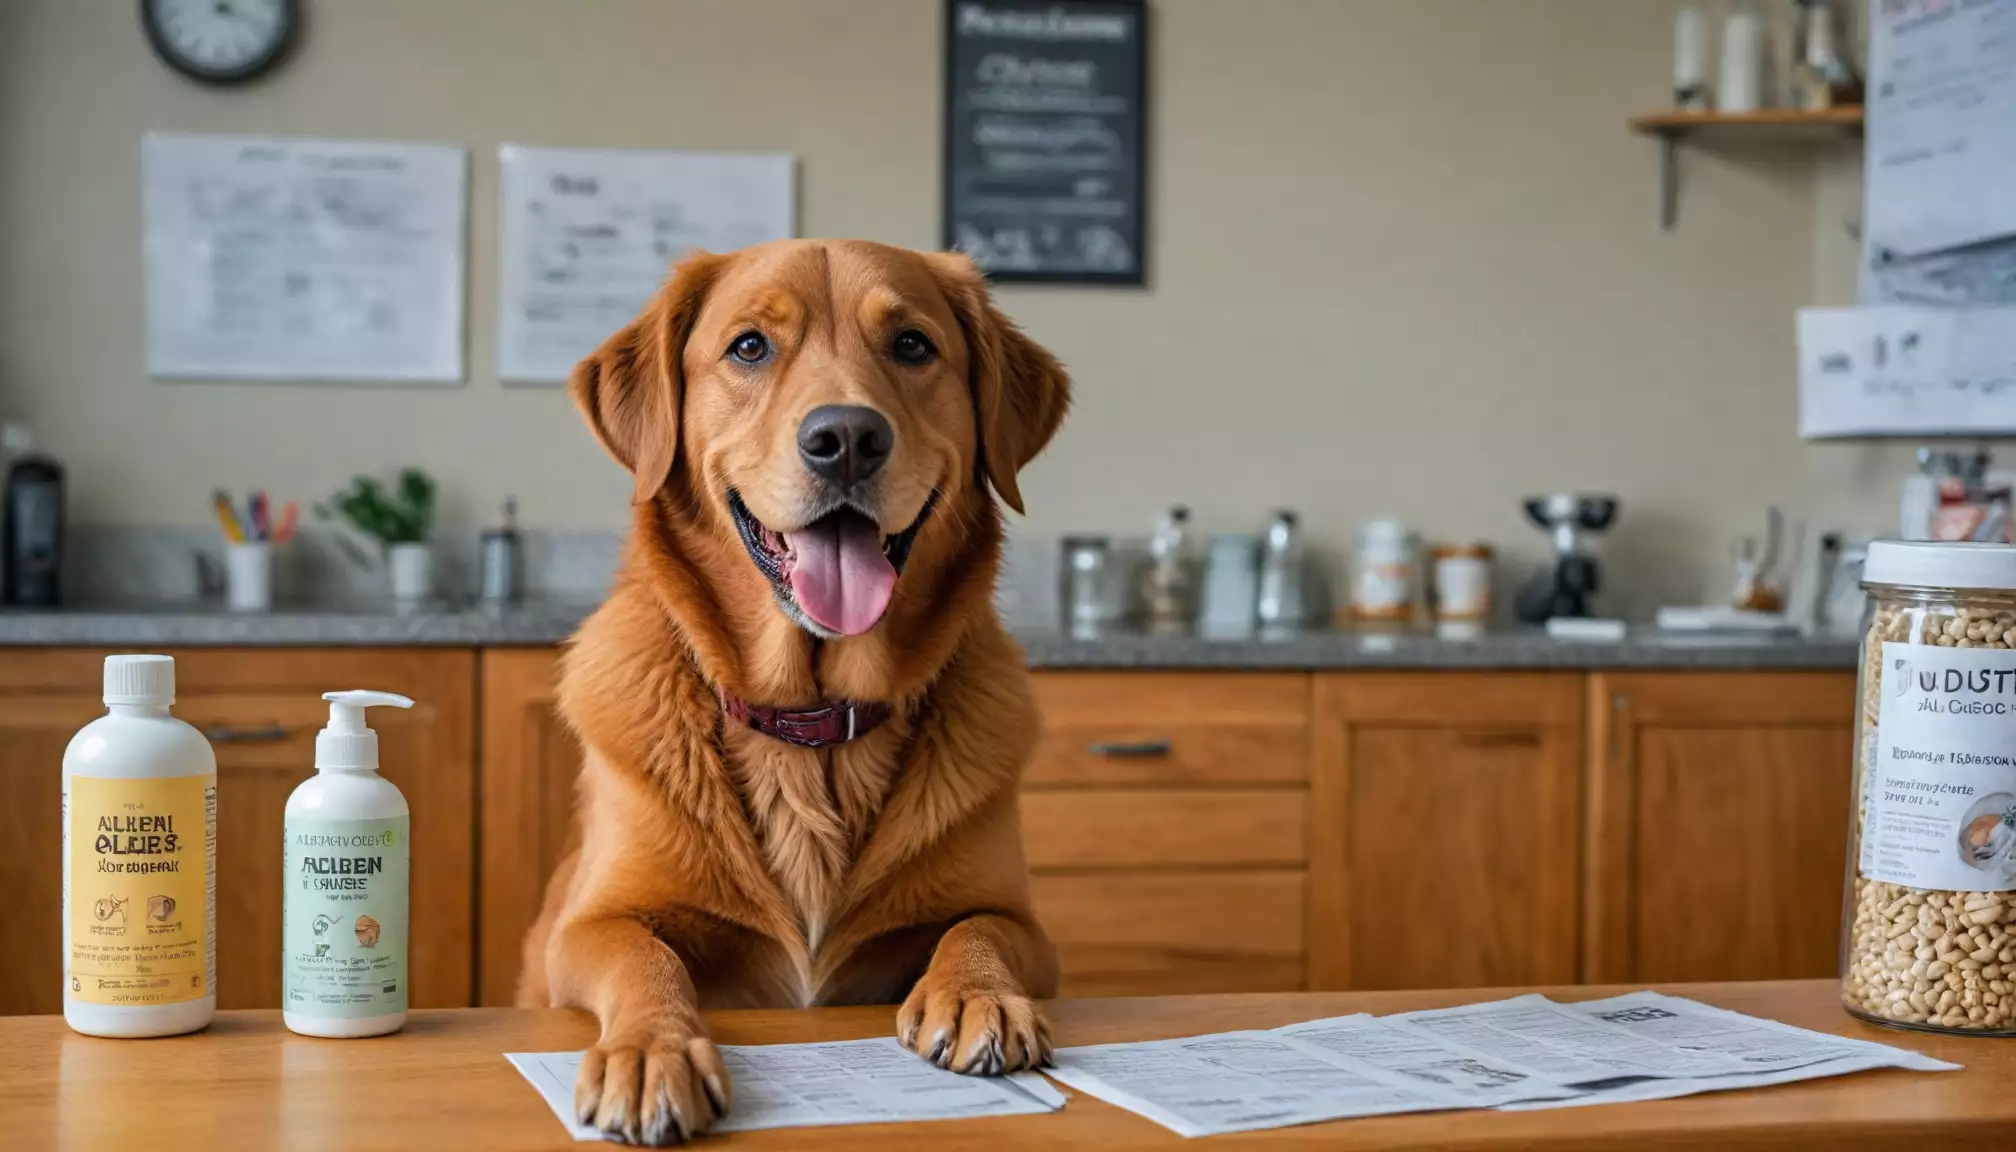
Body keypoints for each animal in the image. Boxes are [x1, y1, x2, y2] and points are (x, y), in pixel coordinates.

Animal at [524, 241, 1072, 1145]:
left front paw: (979, 995)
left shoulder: (1027, 926)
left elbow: (979, 927)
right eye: (749, 347)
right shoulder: (583, 928)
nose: (846, 437)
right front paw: (650, 1051)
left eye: (913, 345)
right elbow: (643, 956)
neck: (812, 724)